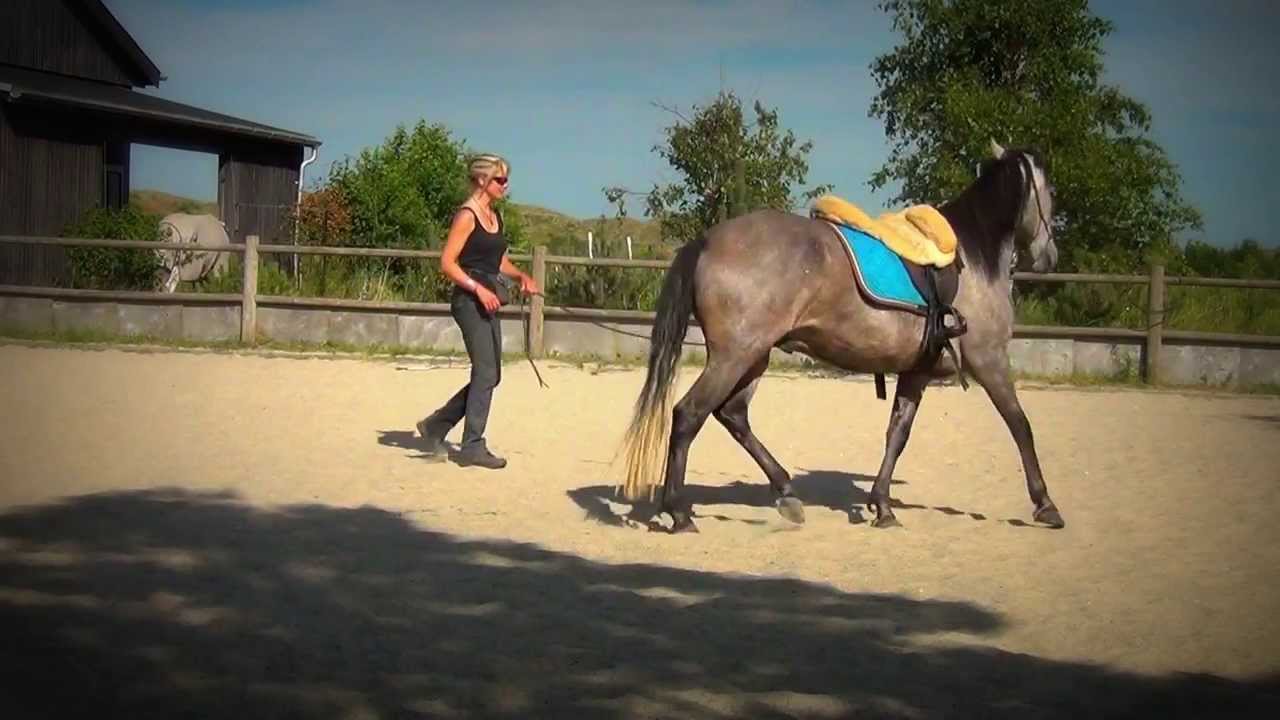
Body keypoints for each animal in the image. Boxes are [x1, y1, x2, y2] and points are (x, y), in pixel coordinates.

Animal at [617, 140, 1062, 534]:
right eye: (1050, 193)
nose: (1049, 256)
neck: (970, 257)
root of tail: (708, 240)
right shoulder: (990, 360)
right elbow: (1020, 425)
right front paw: (1045, 504)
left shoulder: (916, 371)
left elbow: (898, 434)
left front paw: (882, 506)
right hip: (734, 356)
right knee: (688, 414)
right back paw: (679, 512)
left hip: (752, 356)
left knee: (733, 415)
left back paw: (786, 493)